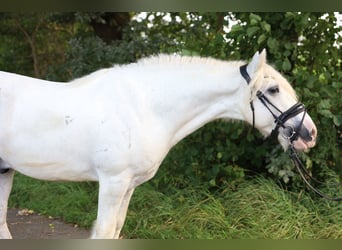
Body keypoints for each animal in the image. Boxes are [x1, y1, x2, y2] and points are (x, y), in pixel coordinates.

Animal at [0, 48, 318, 238]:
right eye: (273, 89)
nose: (310, 133)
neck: (144, 107)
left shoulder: (127, 186)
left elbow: (116, 230)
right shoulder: (113, 183)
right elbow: (104, 232)